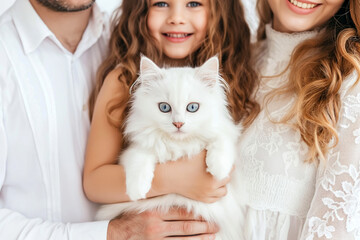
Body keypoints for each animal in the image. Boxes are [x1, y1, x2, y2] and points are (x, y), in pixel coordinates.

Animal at [95, 56, 242, 240]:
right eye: (164, 107)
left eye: (192, 107)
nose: (178, 124)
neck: (178, 145)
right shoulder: (136, 149)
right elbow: (139, 160)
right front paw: (137, 190)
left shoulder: (224, 134)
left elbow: (221, 142)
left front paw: (218, 170)